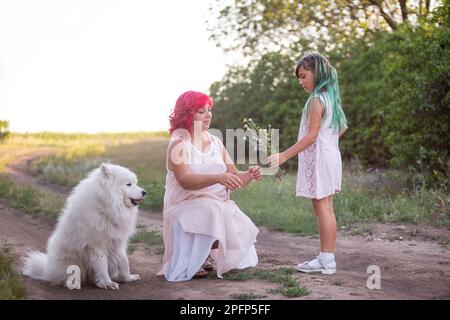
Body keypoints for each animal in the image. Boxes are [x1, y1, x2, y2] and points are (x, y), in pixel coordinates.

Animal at [22, 162, 147, 290]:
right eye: (128, 184)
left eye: (135, 183)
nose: (145, 192)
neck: (107, 207)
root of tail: (47, 268)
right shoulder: (97, 245)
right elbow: (102, 265)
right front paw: (107, 283)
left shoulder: (118, 242)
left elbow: (124, 261)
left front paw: (128, 278)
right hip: (72, 263)